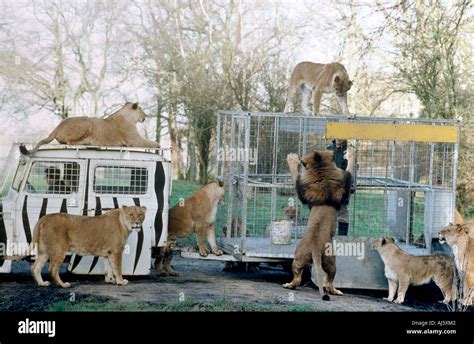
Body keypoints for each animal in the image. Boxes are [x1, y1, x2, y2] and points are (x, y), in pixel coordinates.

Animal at [20, 101, 159, 155]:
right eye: (141, 109)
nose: (145, 116)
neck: (127, 115)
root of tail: (58, 125)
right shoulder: (134, 140)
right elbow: (151, 143)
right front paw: (158, 145)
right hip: (87, 122)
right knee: (70, 142)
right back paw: (86, 142)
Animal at [284, 148, 354, 300]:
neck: (322, 173)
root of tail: (315, 247)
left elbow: (295, 176)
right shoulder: (344, 192)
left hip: (299, 258)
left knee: (300, 278)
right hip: (326, 260)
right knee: (327, 281)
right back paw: (334, 290)